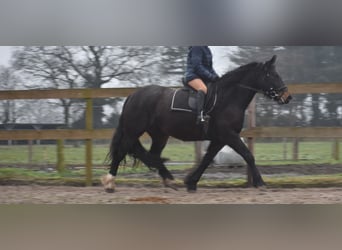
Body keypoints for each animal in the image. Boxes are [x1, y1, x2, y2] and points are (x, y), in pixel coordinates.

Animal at [101, 55, 292, 191]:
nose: (287, 97)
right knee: (123, 151)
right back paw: (110, 182)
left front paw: (191, 182)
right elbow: (248, 155)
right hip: (134, 130)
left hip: (159, 135)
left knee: (151, 154)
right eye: (271, 75)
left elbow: (207, 159)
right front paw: (260, 183)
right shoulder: (229, 135)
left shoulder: (220, 138)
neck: (228, 98)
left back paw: (169, 179)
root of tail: (133, 95)